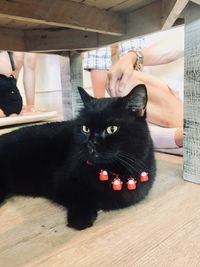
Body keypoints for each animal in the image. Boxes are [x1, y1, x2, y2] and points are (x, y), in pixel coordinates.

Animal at [0, 85, 156, 230]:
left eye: (112, 129)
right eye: (85, 129)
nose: (92, 142)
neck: (113, 171)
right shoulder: (59, 182)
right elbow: (81, 195)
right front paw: (80, 218)